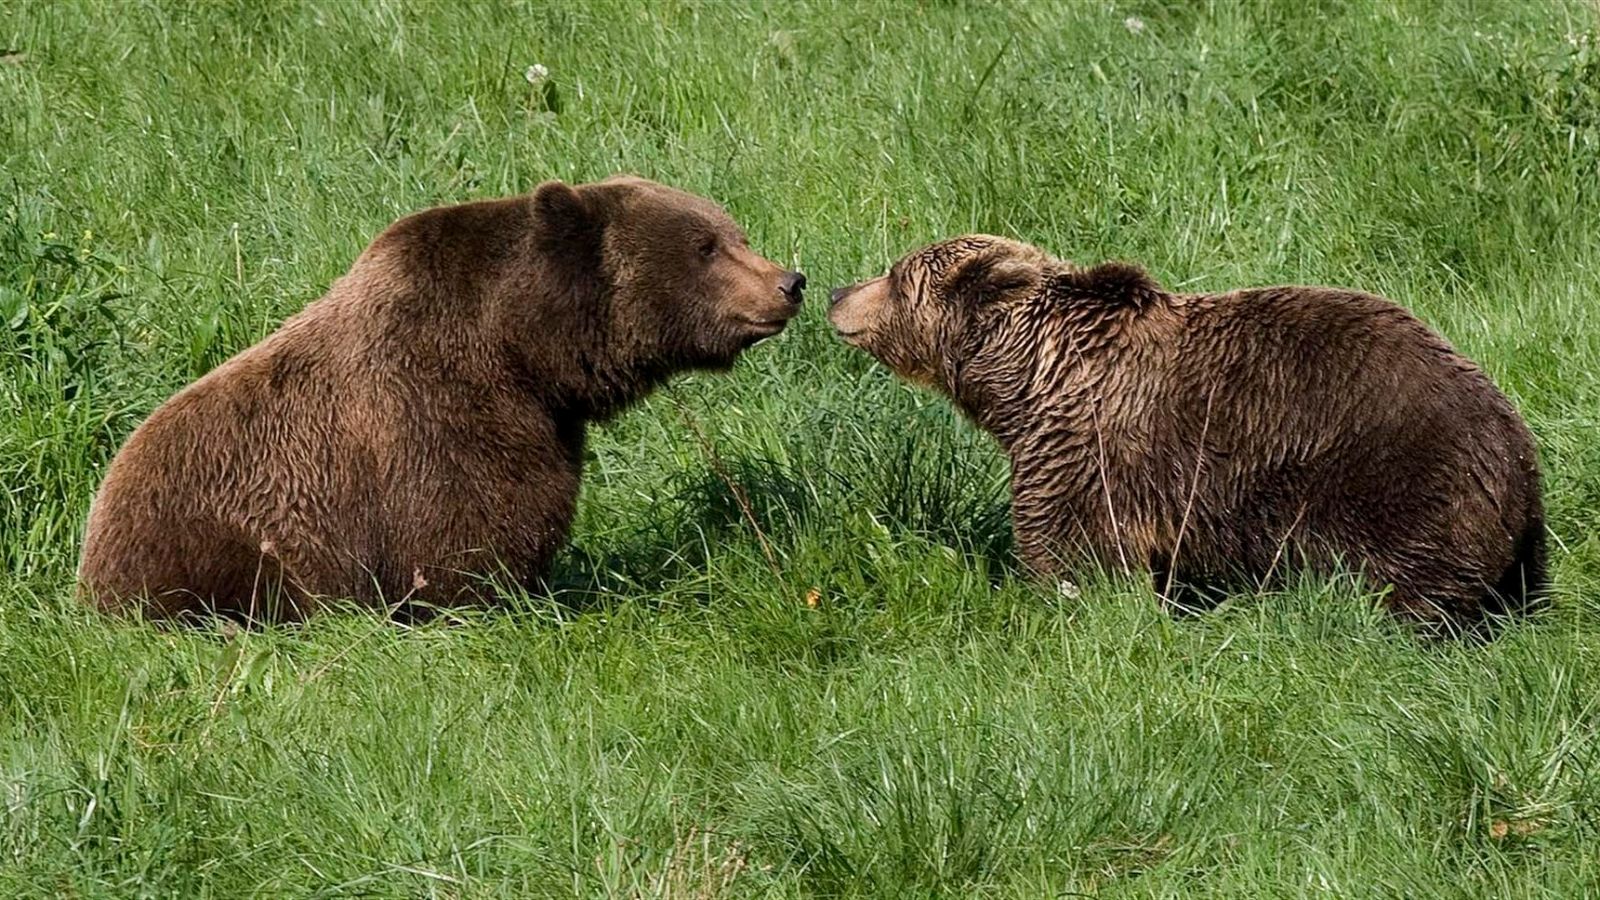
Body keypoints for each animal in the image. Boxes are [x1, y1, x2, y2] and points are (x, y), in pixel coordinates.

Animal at [79, 175, 807, 623]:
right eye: (706, 246)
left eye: (733, 233)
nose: (789, 281)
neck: (521, 351)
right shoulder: (434, 412)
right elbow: (469, 532)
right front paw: (497, 600)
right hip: (218, 542)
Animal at [828, 234, 1545, 629]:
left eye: (897, 274)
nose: (836, 291)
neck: (1028, 384)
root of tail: (1521, 453)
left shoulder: (1088, 457)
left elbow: (1073, 556)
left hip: (1401, 488)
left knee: (1411, 593)